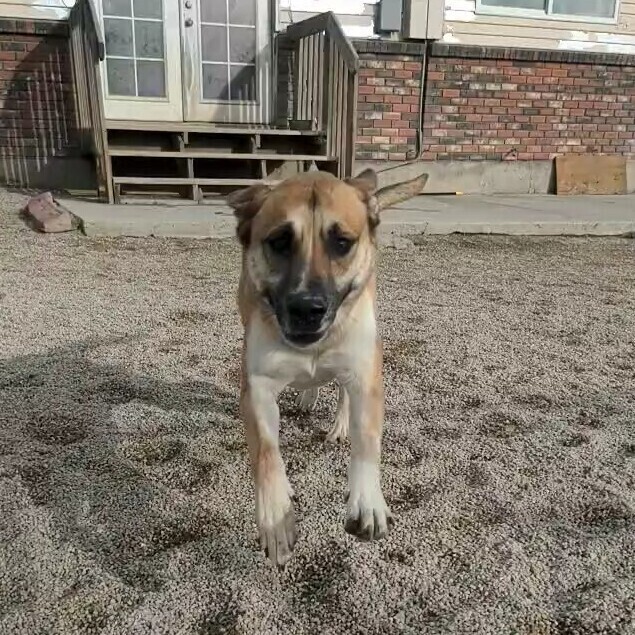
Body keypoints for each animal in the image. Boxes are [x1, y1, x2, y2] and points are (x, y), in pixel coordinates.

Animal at [229, 169, 392, 568]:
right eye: (279, 242)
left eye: (342, 243)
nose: (307, 308)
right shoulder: (257, 386)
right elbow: (266, 452)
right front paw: (275, 516)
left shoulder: (366, 375)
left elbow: (367, 438)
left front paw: (367, 500)